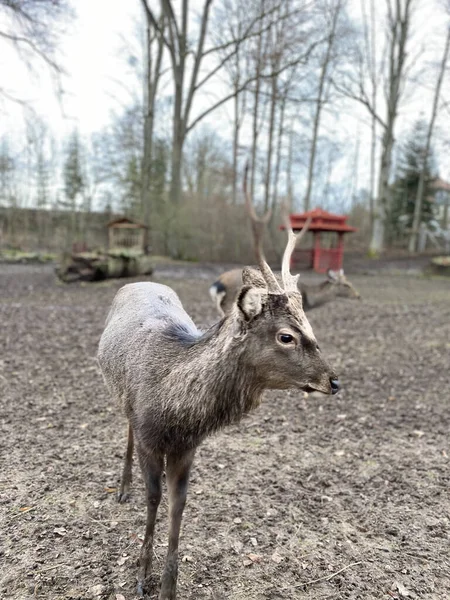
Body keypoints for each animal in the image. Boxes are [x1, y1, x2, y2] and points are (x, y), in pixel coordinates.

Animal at [96, 165, 340, 600]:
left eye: (310, 326)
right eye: (286, 336)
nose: (333, 380)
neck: (176, 413)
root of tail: (139, 281)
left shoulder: (187, 448)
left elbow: (178, 505)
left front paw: (169, 587)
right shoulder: (148, 434)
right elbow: (153, 498)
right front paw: (141, 576)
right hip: (121, 396)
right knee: (124, 428)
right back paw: (122, 488)